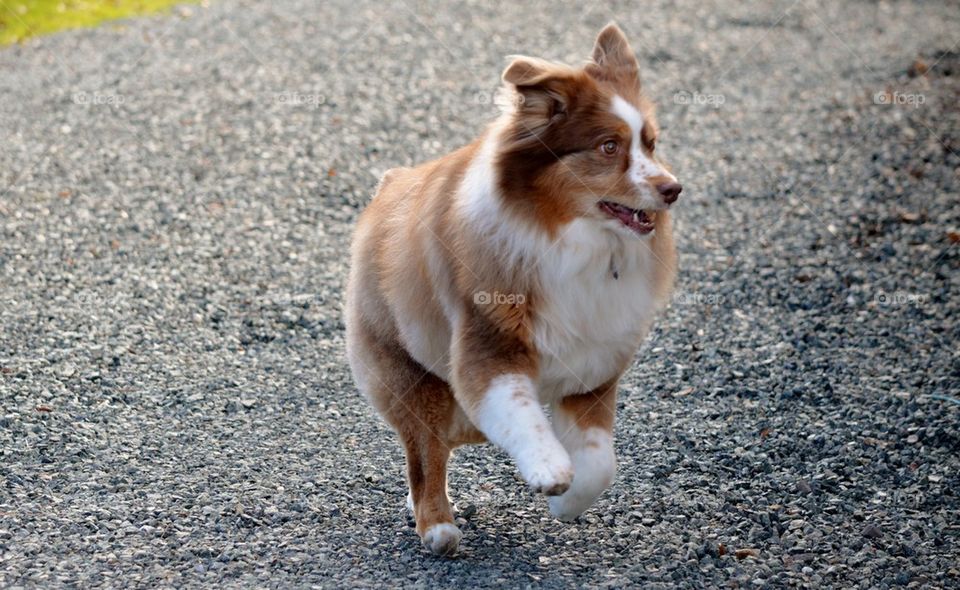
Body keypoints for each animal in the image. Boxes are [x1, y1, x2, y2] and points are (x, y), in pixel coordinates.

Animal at [344, 24, 676, 560]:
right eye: (608, 146)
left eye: (650, 143)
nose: (673, 189)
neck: (570, 238)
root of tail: (389, 184)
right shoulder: (489, 344)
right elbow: (520, 410)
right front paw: (549, 468)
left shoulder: (593, 368)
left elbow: (602, 461)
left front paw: (567, 503)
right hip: (408, 368)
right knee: (425, 450)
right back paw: (436, 525)